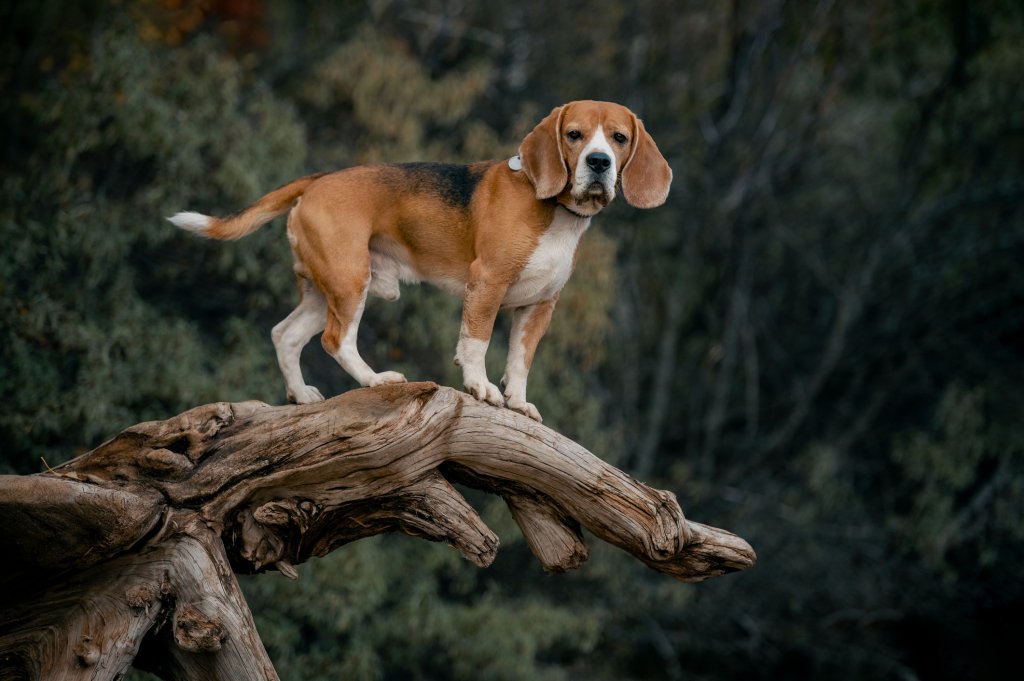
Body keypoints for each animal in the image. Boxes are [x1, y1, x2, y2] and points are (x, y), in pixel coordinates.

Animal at [173, 100, 671, 419]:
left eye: (619, 138)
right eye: (574, 135)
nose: (599, 162)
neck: (555, 211)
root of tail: (319, 179)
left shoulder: (538, 307)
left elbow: (520, 361)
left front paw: (517, 401)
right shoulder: (487, 285)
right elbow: (476, 344)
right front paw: (480, 387)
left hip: (326, 287)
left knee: (285, 334)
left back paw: (300, 395)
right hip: (351, 281)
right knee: (336, 340)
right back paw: (375, 380)